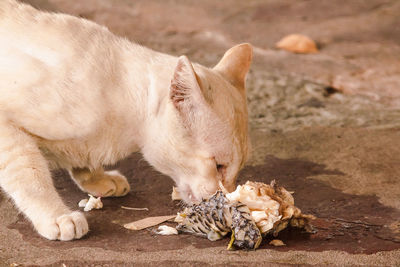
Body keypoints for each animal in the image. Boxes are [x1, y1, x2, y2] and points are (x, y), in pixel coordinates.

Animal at [0, 0, 252, 242]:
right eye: (218, 166)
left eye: (236, 171)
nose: (228, 198)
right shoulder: (8, 129)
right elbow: (31, 177)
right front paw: (57, 217)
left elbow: (81, 163)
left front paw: (98, 180)